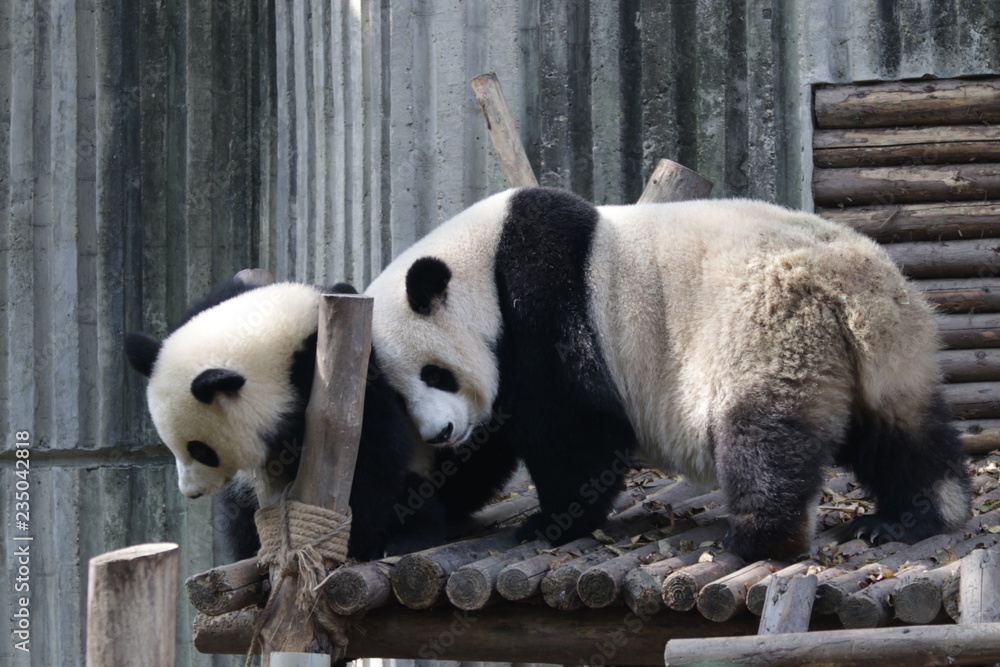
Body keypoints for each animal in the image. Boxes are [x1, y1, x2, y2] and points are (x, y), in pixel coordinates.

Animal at [124, 277, 482, 562]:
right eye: (172, 447)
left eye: (200, 450)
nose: (191, 493)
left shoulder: (343, 378)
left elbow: (374, 455)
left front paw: (361, 540)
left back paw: (406, 537)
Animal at [364, 186, 973, 561]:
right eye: (398, 396)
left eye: (434, 374)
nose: (440, 433)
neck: (483, 260)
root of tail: (847, 283)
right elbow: (485, 450)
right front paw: (411, 515)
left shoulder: (540, 304)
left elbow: (574, 429)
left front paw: (550, 523)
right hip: (884, 353)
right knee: (902, 432)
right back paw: (910, 517)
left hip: (769, 329)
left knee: (762, 433)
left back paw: (760, 538)